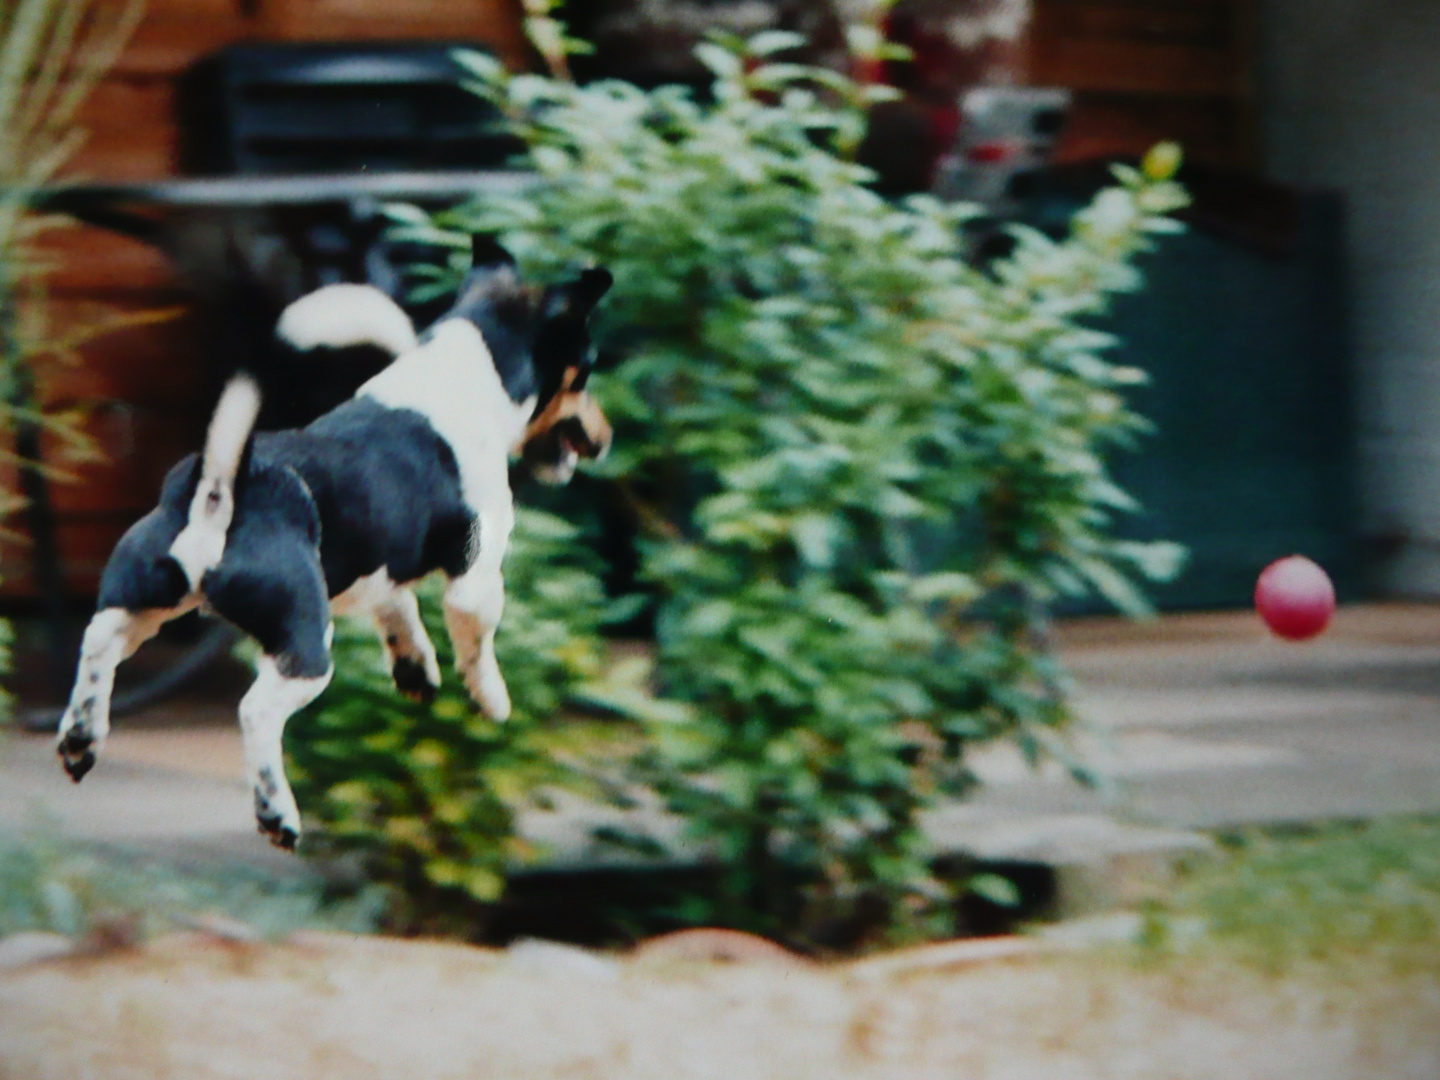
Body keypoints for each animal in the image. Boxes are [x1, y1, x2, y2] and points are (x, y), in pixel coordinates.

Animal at [56, 240, 613, 852]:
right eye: (586, 374)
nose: (605, 438)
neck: (465, 375)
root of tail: (219, 487)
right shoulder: (475, 580)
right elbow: (477, 646)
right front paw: (491, 700)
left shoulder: (380, 567)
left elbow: (399, 612)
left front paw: (416, 670)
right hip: (305, 645)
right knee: (256, 712)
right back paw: (277, 813)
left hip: (148, 598)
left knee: (99, 642)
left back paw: (81, 740)